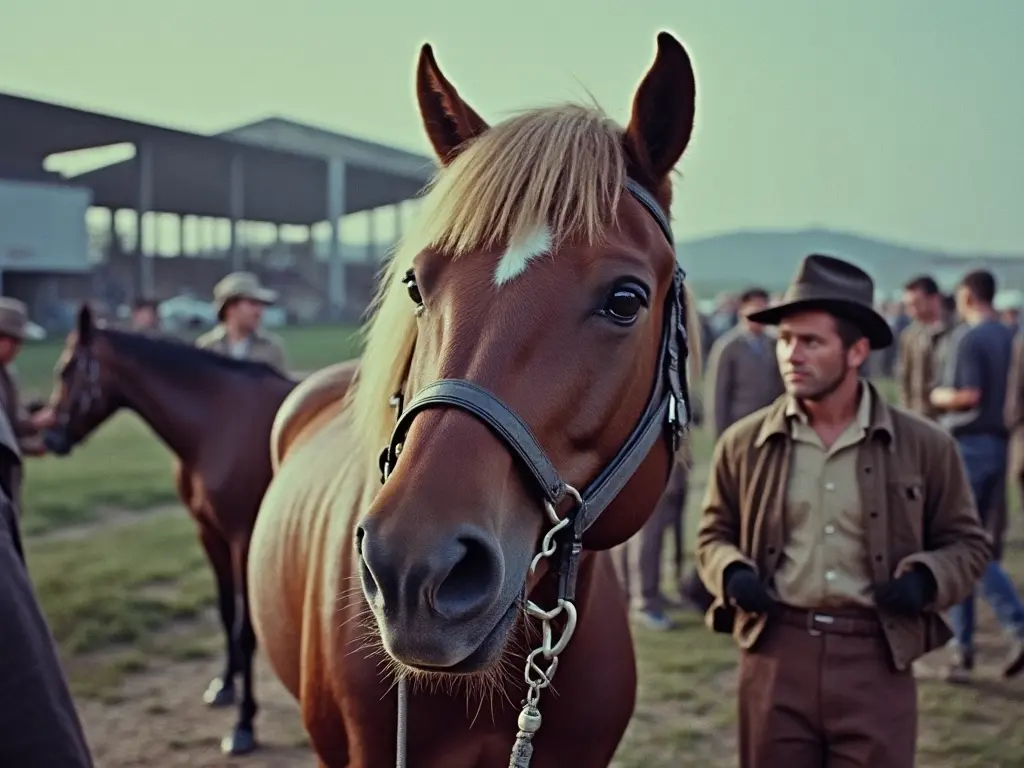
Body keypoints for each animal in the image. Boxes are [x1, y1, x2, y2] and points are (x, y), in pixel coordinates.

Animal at [40, 305, 296, 757]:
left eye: (67, 369)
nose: (51, 437)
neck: (220, 424)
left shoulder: (243, 540)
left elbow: (245, 630)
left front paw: (244, 723)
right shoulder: (209, 534)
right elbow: (226, 613)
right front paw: (224, 686)